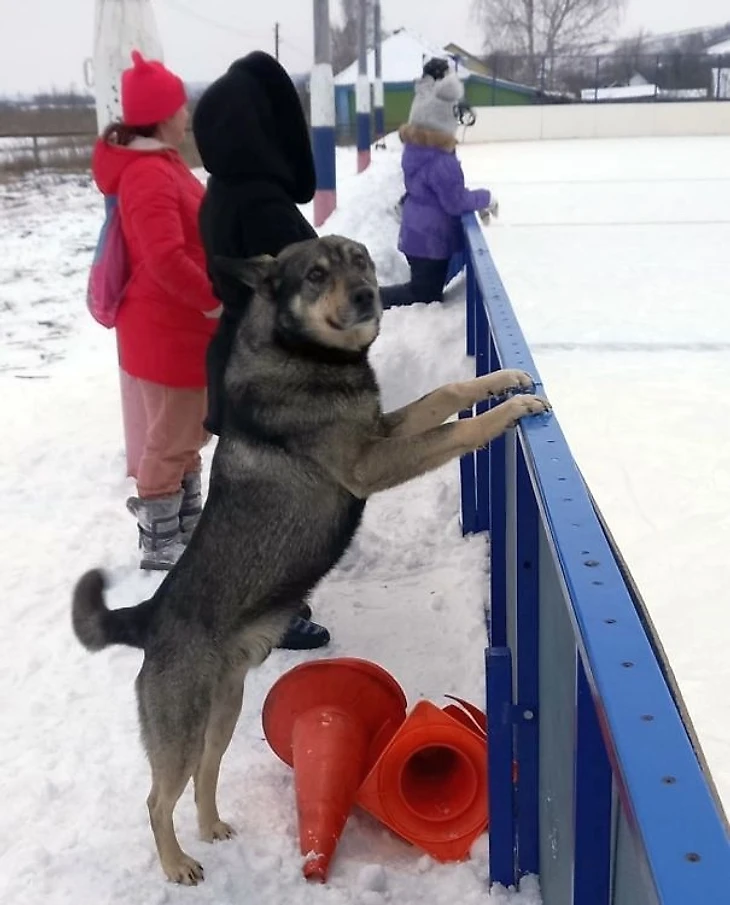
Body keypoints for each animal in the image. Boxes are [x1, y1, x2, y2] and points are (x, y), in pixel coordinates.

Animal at [69, 233, 544, 884]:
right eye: (316, 275)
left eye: (362, 261)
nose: (369, 295)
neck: (303, 355)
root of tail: (147, 618)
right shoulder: (369, 463)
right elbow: (454, 433)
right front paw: (510, 410)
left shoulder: (379, 429)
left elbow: (444, 395)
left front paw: (504, 378)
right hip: (181, 723)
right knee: (156, 798)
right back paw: (177, 863)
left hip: (224, 709)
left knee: (205, 773)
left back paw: (212, 828)